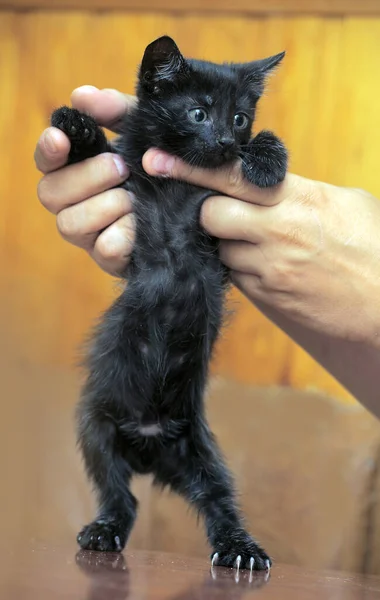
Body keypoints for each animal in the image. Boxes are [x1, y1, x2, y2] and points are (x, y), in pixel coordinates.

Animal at [51, 35, 288, 568]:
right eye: (198, 113)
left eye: (239, 118)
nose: (225, 143)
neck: (182, 184)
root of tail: (150, 445)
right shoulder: (126, 182)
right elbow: (102, 159)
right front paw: (77, 126)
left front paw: (268, 160)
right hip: (97, 428)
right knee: (120, 496)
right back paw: (104, 531)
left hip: (199, 453)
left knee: (217, 499)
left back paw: (240, 548)